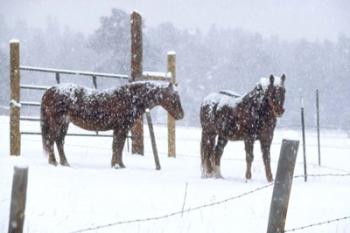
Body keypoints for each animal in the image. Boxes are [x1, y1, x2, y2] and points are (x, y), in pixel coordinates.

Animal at [40, 80, 185, 167]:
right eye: (173, 97)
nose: (181, 115)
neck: (130, 98)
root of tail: (50, 90)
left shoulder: (121, 129)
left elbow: (117, 146)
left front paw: (119, 164)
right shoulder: (121, 128)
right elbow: (117, 146)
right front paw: (117, 165)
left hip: (64, 124)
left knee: (59, 142)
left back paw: (65, 163)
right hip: (57, 122)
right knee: (51, 140)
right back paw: (53, 162)